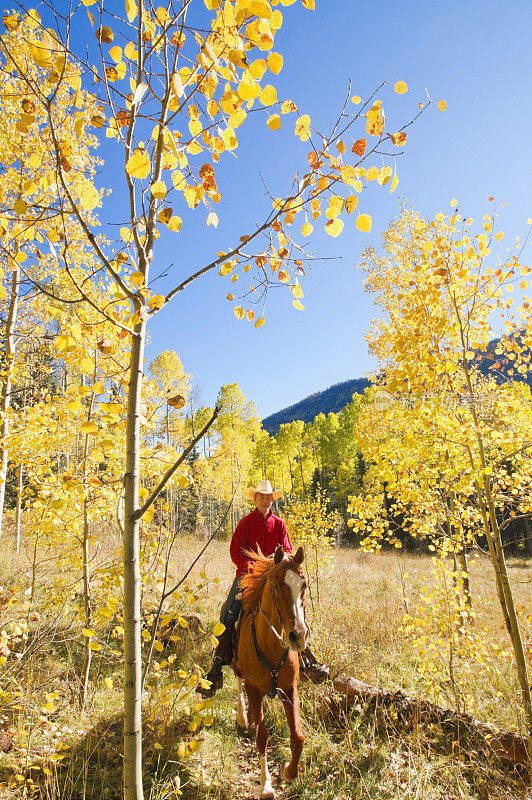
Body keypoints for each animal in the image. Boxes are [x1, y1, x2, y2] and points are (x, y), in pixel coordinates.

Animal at [233, 544, 308, 800]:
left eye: (304, 585)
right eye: (276, 586)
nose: (299, 636)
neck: (271, 644)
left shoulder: (289, 689)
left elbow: (298, 736)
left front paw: (289, 772)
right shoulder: (254, 688)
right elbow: (262, 737)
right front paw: (266, 785)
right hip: (239, 669)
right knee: (238, 683)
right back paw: (243, 718)